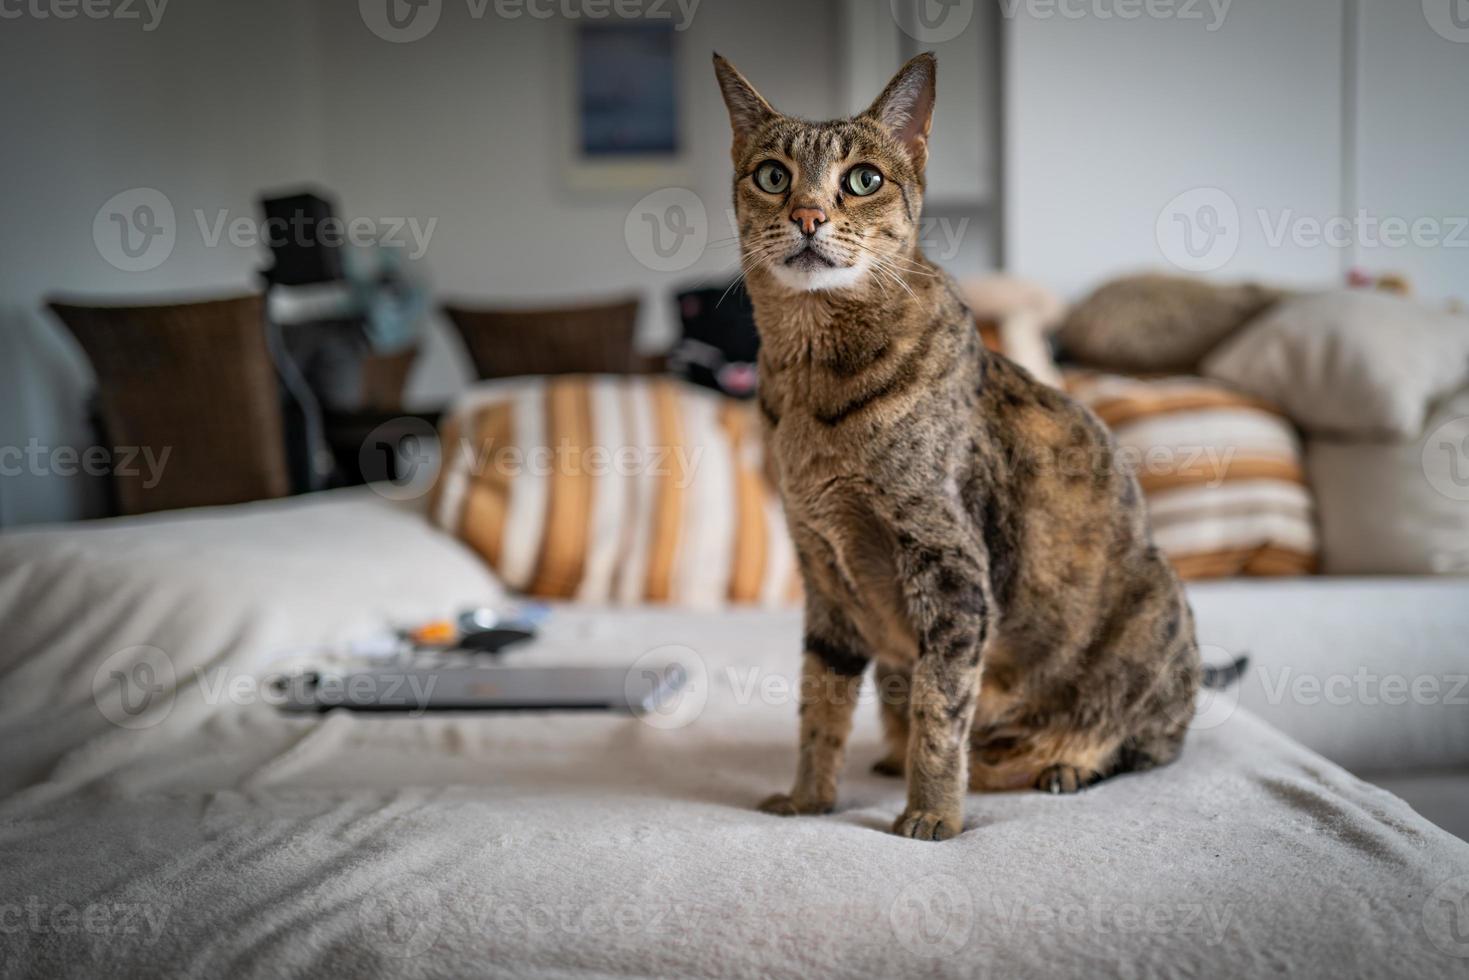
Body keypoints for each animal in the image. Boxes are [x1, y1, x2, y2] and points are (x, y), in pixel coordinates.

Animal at [710, 49, 1204, 840]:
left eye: (863, 179)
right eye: (772, 175)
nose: (807, 215)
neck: (814, 388)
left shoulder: (952, 572)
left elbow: (941, 710)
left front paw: (932, 814)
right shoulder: (822, 574)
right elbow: (819, 704)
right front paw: (809, 798)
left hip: (1156, 611)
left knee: (1145, 741)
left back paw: (1065, 764)